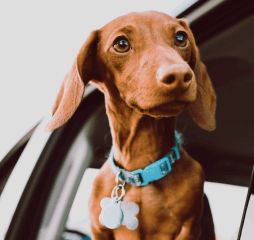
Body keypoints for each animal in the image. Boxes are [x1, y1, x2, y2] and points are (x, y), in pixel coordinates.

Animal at [45, 10, 216, 239]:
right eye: (121, 44)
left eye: (181, 38)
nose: (180, 75)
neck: (141, 172)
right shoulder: (98, 230)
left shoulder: (189, 228)